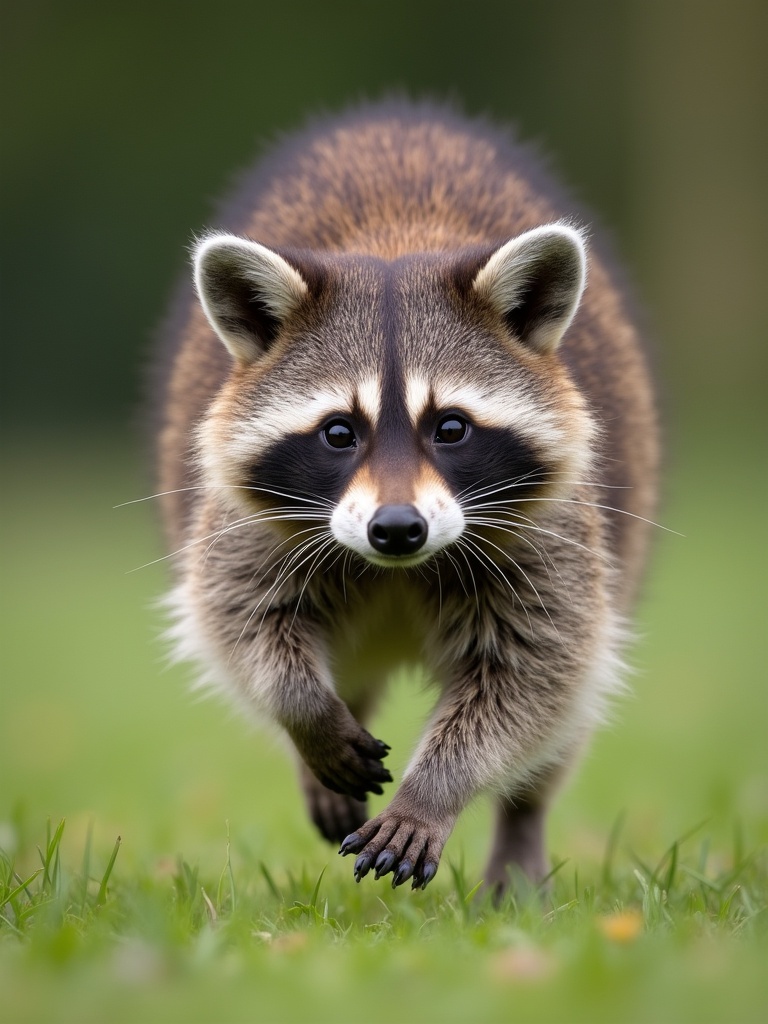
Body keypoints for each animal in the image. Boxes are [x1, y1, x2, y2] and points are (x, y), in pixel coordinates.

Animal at [156, 99, 663, 892]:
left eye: (450, 428)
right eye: (339, 432)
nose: (397, 529)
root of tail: (395, 115)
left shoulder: (555, 536)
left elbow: (534, 671)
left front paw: (434, 790)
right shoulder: (243, 520)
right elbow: (240, 620)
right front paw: (306, 713)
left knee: (567, 714)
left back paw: (520, 833)